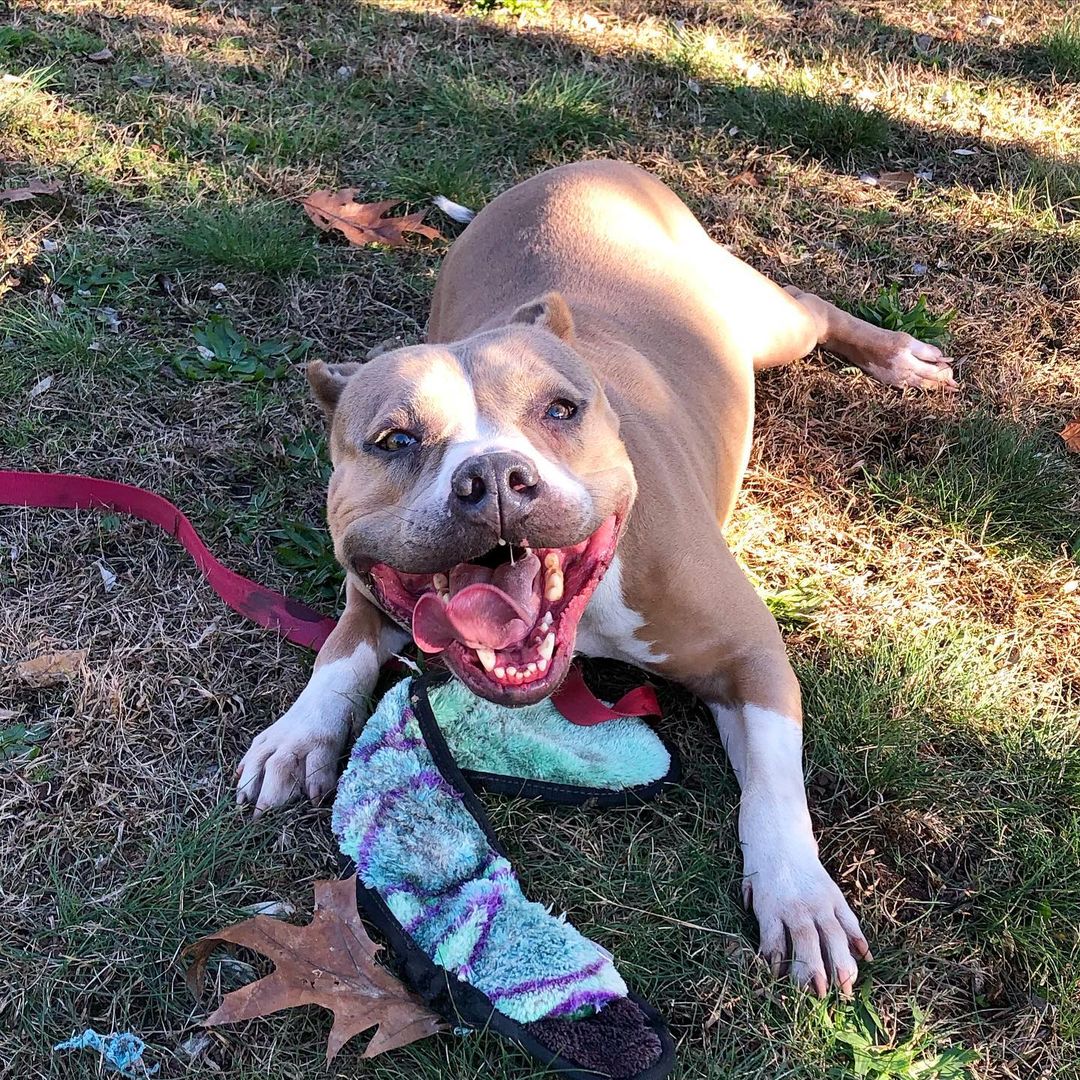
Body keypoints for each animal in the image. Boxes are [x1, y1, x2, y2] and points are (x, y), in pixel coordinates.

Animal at [236, 157, 954, 993]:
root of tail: (580, 165)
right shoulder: (371, 588)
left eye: (561, 409)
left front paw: (799, 895)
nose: (493, 478)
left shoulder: (749, 654)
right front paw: (299, 736)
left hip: (764, 322)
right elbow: (339, 655)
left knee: (809, 306)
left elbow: (775, 787)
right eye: (393, 440)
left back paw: (899, 357)